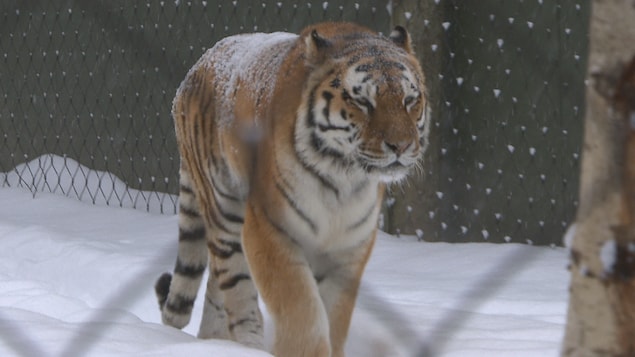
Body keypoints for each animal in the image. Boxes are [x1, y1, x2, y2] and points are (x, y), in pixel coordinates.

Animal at [156, 22, 430, 356]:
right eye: (363, 102)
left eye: (409, 100)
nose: (400, 146)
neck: (343, 179)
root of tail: (197, 66)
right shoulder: (269, 230)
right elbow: (301, 309)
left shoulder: (349, 249)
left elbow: (334, 317)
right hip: (225, 210)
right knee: (235, 287)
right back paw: (247, 346)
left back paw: (214, 342)